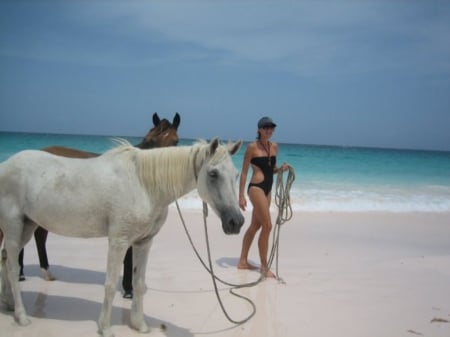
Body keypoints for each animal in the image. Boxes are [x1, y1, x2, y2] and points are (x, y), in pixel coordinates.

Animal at [0, 137, 244, 336]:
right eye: (213, 174)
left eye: (236, 175)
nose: (236, 222)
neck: (144, 185)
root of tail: (6, 165)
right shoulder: (119, 242)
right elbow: (110, 284)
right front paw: (105, 328)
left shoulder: (143, 243)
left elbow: (139, 284)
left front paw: (139, 325)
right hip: (13, 227)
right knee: (12, 268)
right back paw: (21, 316)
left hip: (28, 226)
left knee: (4, 260)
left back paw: (8, 304)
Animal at [18, 112, 181, 294]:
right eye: (149, 139)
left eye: (175, 141)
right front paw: (128, 289)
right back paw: (21, 274)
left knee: (39, 237)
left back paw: (45, 273)